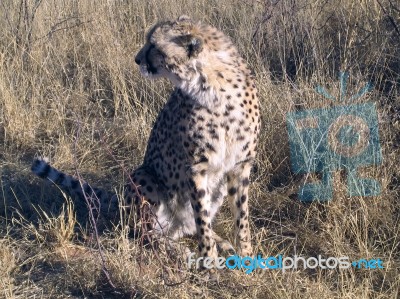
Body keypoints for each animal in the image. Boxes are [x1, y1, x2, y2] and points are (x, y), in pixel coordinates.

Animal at [32, 15, 260, 264]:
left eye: (153, 45)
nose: (137, 59)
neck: (211, 83)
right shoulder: (196, 168)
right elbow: (202, 219)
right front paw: (209, 260)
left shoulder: (240, 165)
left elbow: (240, 216)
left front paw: (246, 255)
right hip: (143, 177)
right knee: (148, 234)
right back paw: (177, 250)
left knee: (190, 225)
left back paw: (220, 241)